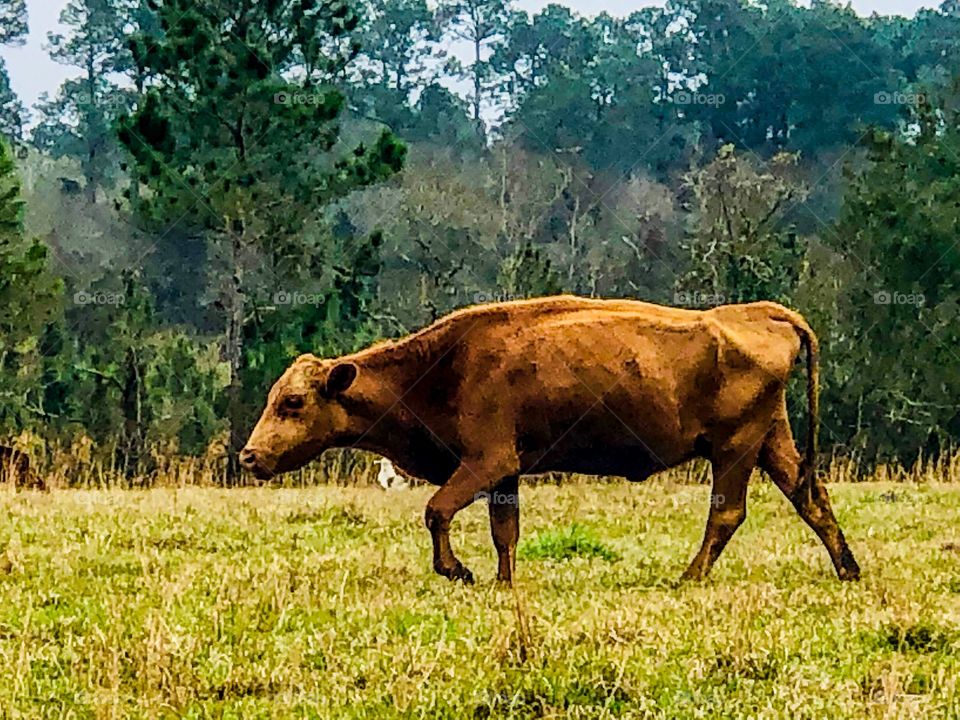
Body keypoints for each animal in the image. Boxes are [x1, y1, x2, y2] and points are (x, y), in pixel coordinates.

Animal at [241, 296, 860, 585]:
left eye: (292, 402)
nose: (250, 456)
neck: (441, 367)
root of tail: (761, 313)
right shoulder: (505, 474)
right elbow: (505, 532)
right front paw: (502, 581)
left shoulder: (486, 463)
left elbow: (436, 511)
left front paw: (459, 572)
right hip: (772, 441)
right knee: (811, 498)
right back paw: (848, 570)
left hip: (735, 448)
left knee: (728, 512)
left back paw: (687, 577)